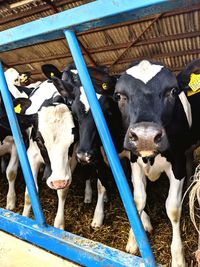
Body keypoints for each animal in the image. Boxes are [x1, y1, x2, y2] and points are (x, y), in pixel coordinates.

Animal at [114, 60, 200, 267]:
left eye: (173, 91)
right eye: (119, 95)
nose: (145, 137)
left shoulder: (176, 164)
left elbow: (173, 208)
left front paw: (178, 258)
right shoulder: (135, 162)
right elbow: (138, 200)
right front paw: (134, 241)